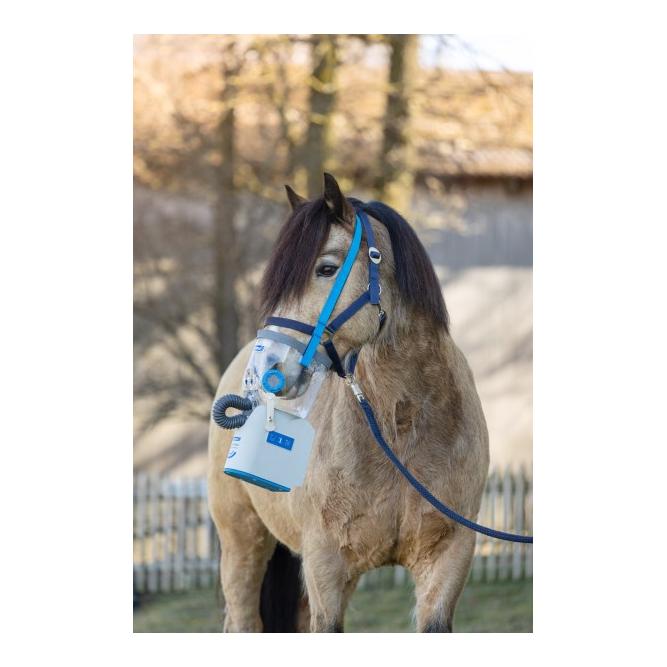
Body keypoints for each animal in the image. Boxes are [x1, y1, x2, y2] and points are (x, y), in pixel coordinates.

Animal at [208, 173, 489, 632]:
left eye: (326, 268)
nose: (267, 369)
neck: (398, 426)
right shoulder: (326, 567)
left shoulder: (448, 560)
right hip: (242, 544)